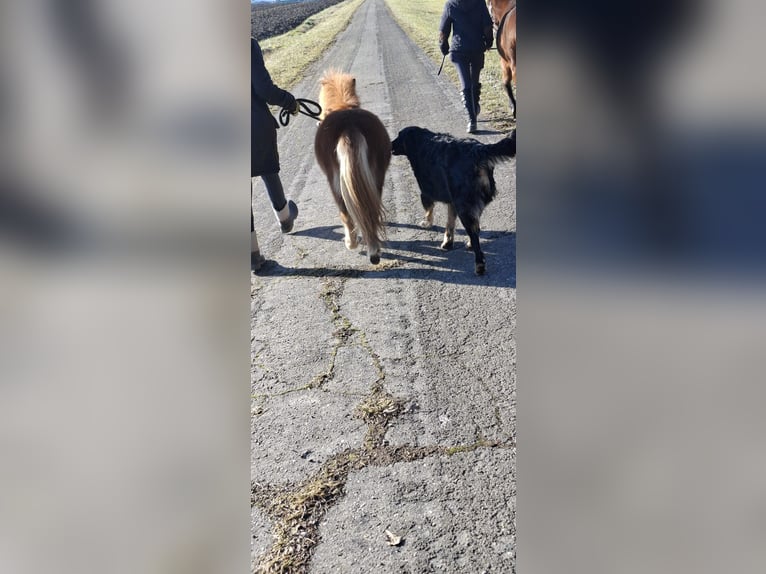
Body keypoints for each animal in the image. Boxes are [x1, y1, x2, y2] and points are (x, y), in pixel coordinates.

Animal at [316, 70, 392, 266]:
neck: (342, 106)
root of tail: (349, 126)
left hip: (335, 183)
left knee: (346, 214)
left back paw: (353, 244)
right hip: (377, 177)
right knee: (370, 210)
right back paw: (373, 249)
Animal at [396, 127, 516, 276]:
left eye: (398, 136)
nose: (390, 144)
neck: (421, 140)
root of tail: (478, 150)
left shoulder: (426, 191)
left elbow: (429, 210)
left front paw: (427, 222)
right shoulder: (453, 202)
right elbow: (450, 223)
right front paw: (448, 242)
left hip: (464, 207)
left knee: (474, 235)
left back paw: (479, 265)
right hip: (467, 204)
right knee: (475, 228)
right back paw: (471, 245)